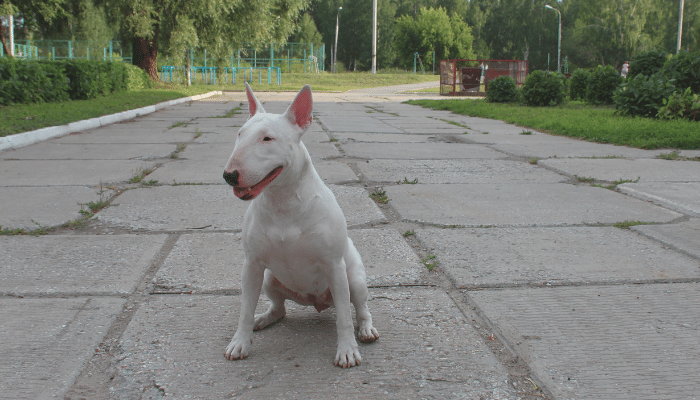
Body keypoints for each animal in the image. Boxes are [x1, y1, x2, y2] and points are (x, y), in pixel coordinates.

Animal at [223, 83, 378, 368]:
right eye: (240, 134)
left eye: (267, 139)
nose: (229, 175)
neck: (283, 202)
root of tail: (316, 302)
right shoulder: (252, 265)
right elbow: (245, 309)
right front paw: (240, 343)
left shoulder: (334, 266)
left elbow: (344, 317)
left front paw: (347, 350)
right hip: (269, 279)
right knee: (280, 309)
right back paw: (264, 319)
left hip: (354, 280)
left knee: (360, 308)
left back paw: (366, 330)